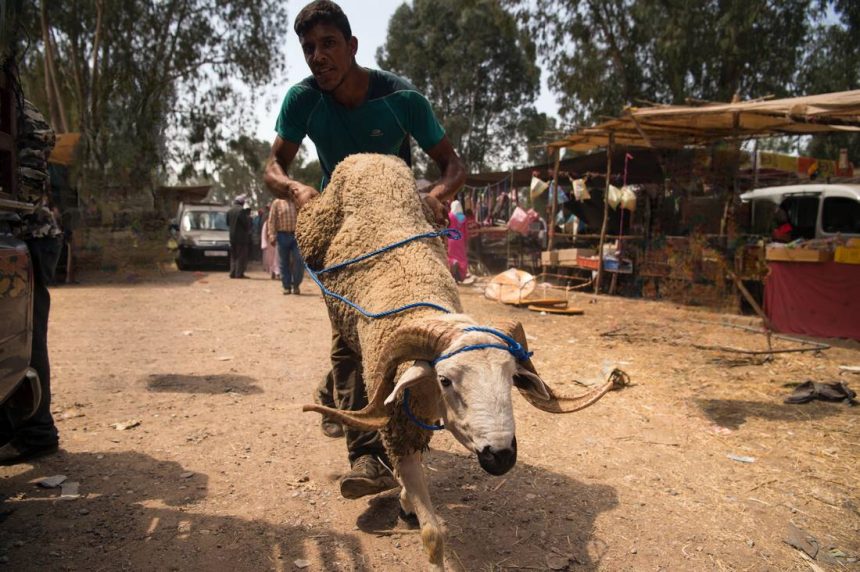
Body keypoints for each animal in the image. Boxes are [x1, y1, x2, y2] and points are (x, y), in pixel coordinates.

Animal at [298, 154, 624, 568]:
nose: (501, 456)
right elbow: (433, 534)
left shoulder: (410, 420)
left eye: (511, 378)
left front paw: (405, 499)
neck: (417, 300)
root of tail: (368, 156)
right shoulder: (397, 421)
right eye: (446, 380)